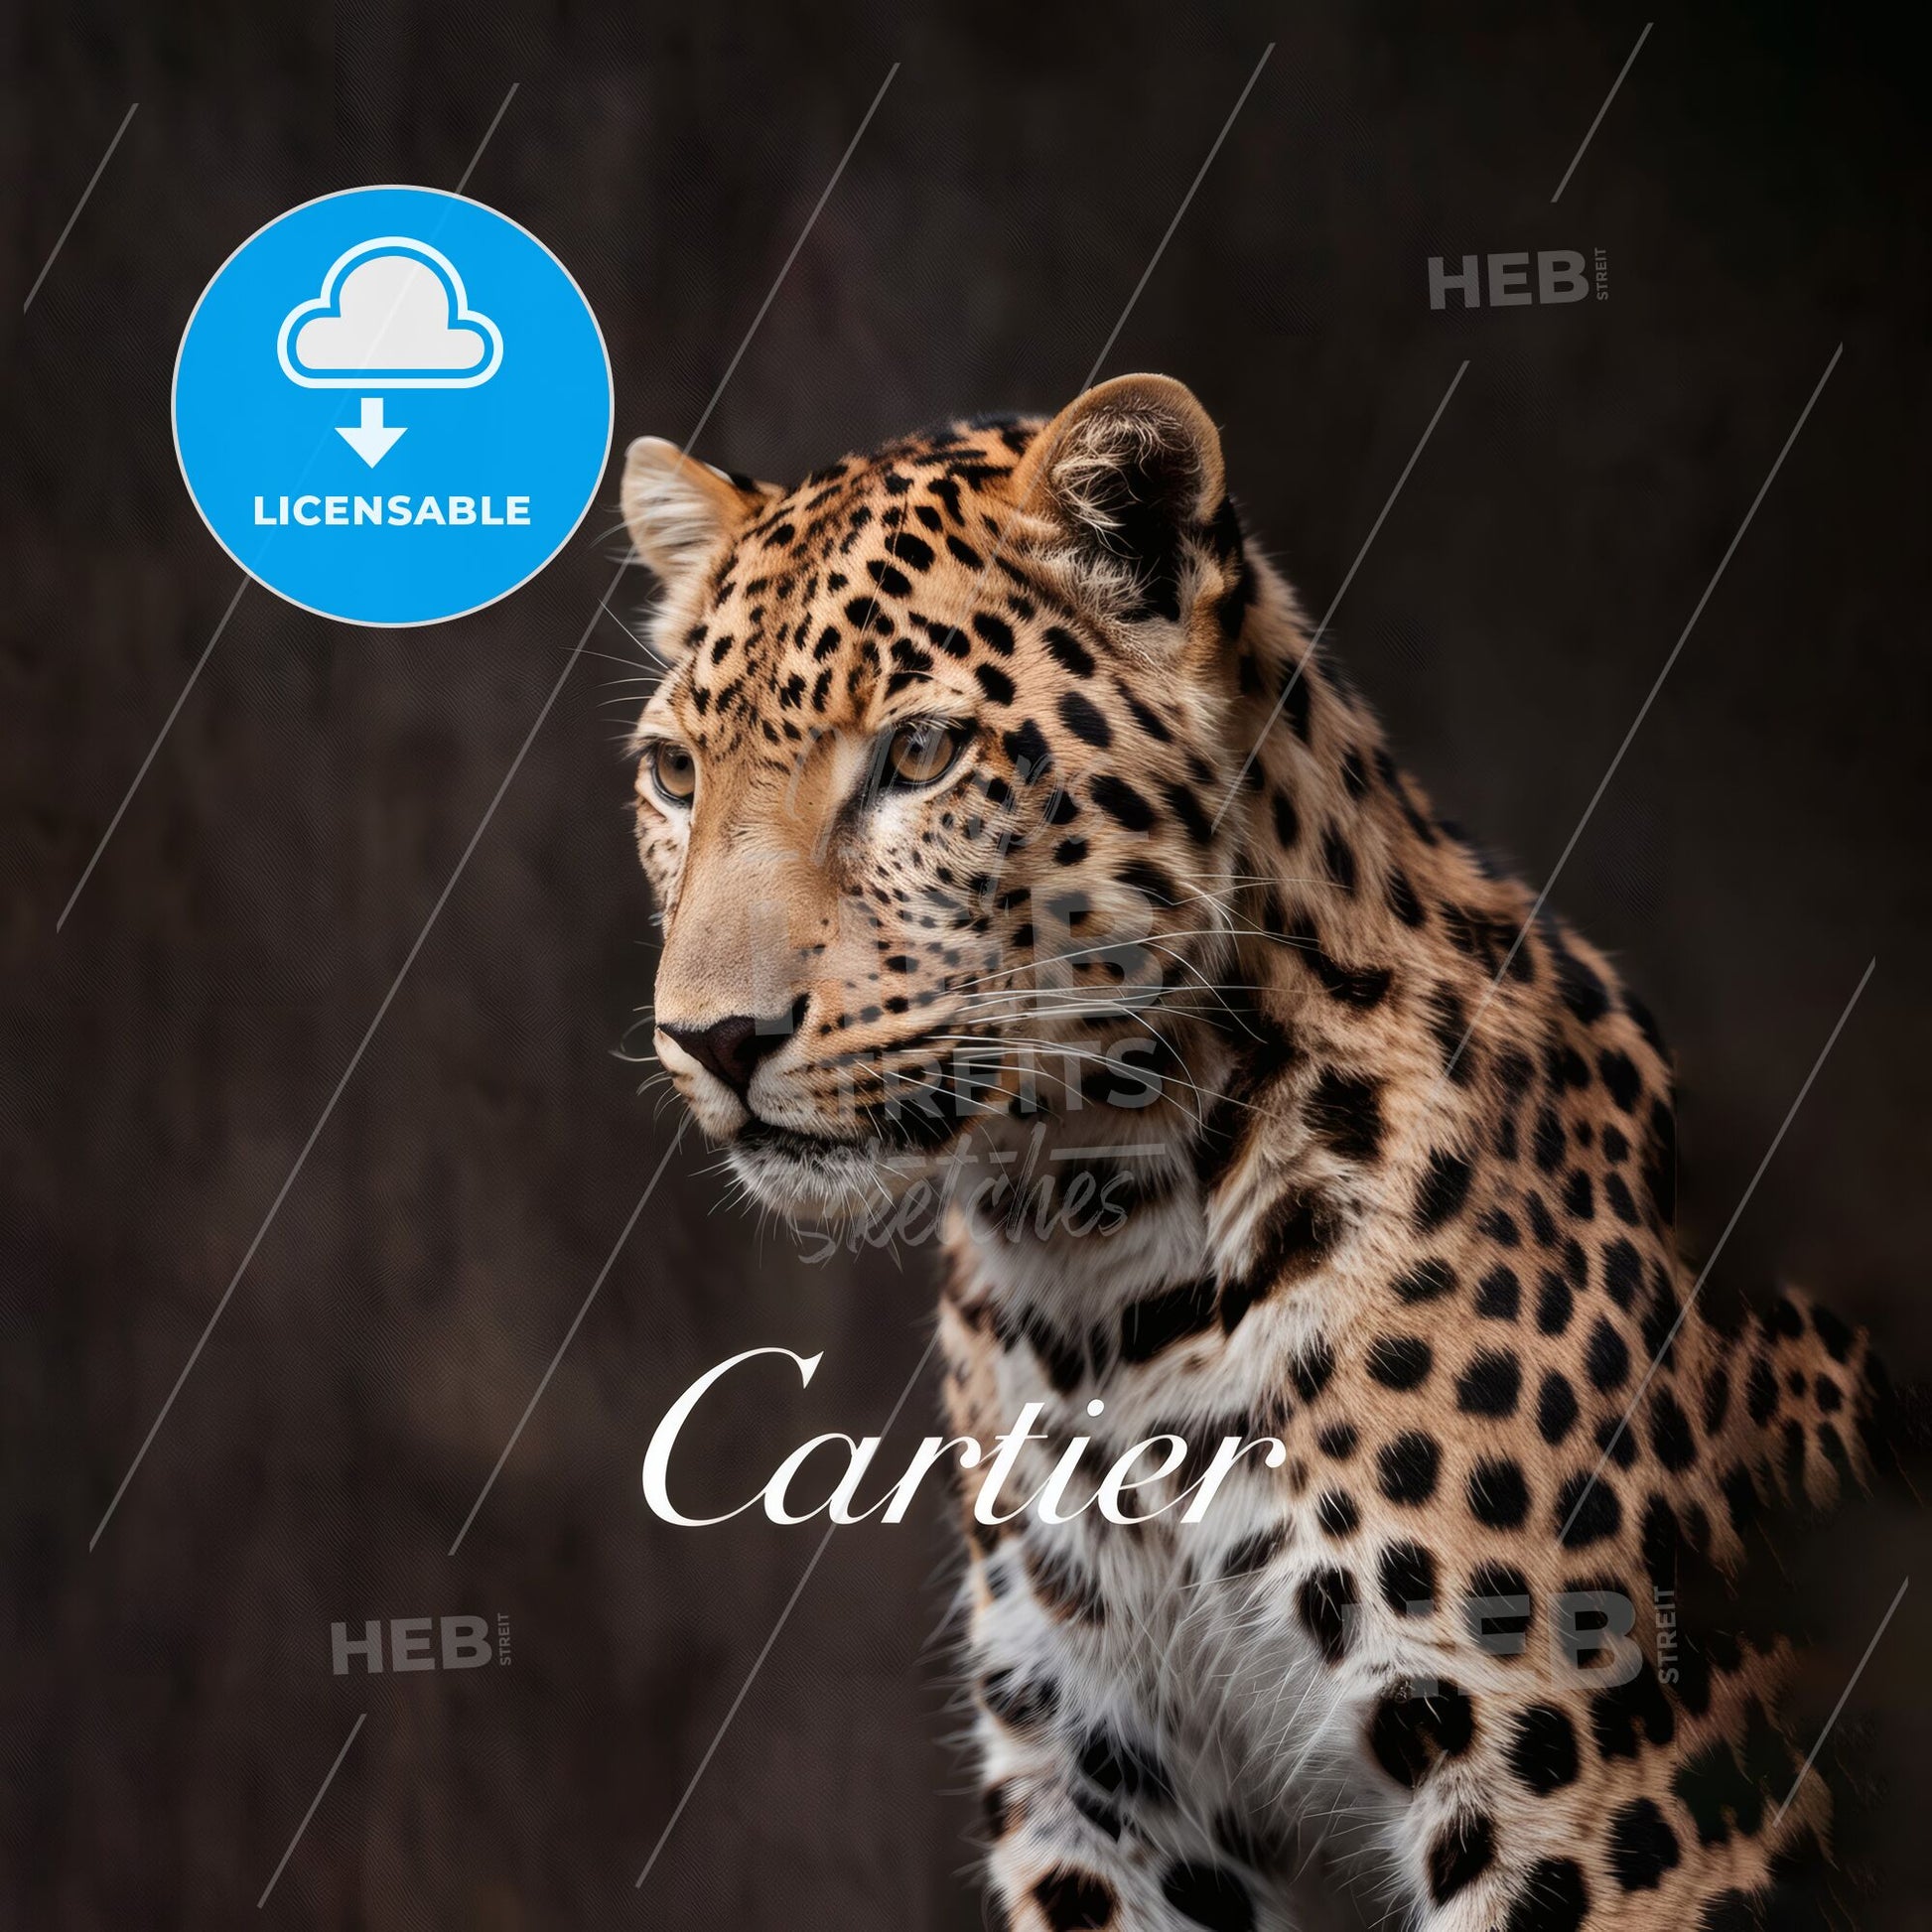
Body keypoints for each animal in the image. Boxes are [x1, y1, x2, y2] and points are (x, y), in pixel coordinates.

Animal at [618, 375, 1897, 1930]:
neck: (1098, 1248)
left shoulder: (1608, 1792)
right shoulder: (1103, 1779)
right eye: (673, 773)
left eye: (917, 755)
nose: (711, 1038)